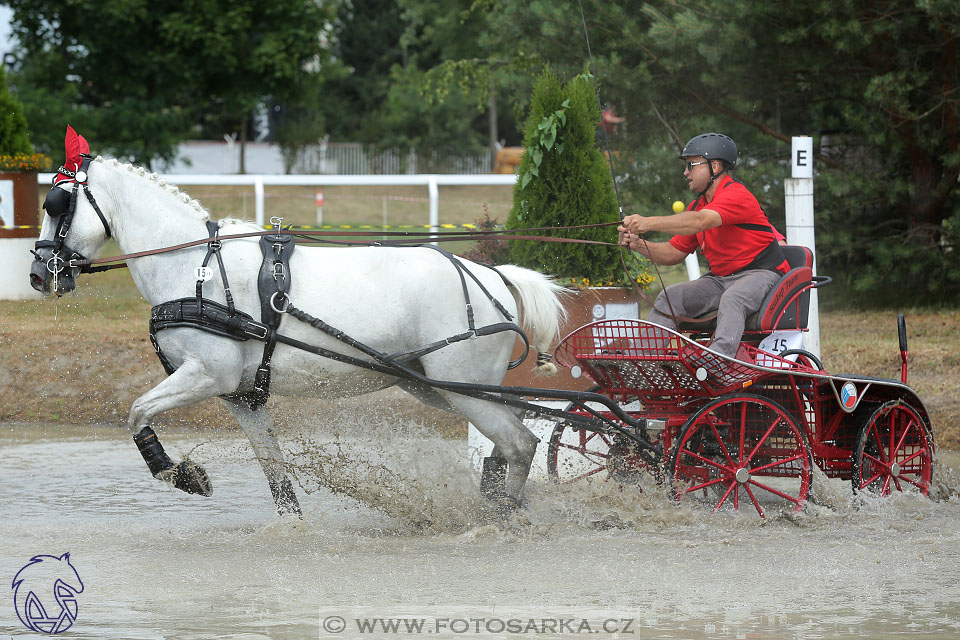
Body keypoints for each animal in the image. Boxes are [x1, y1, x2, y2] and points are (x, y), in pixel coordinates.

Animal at [30, 152, 568, 516]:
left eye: (58, 204)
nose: (38, 274)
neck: (193, 266)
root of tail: (492, 275)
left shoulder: (207, 374)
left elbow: (137, 410)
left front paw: (182, 475)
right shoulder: (240, 395)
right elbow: (274, 470)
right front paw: (291, 527)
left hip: (462, 386)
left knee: (521, 443)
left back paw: (499, 518)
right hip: (436, 386)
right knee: (511, 437)